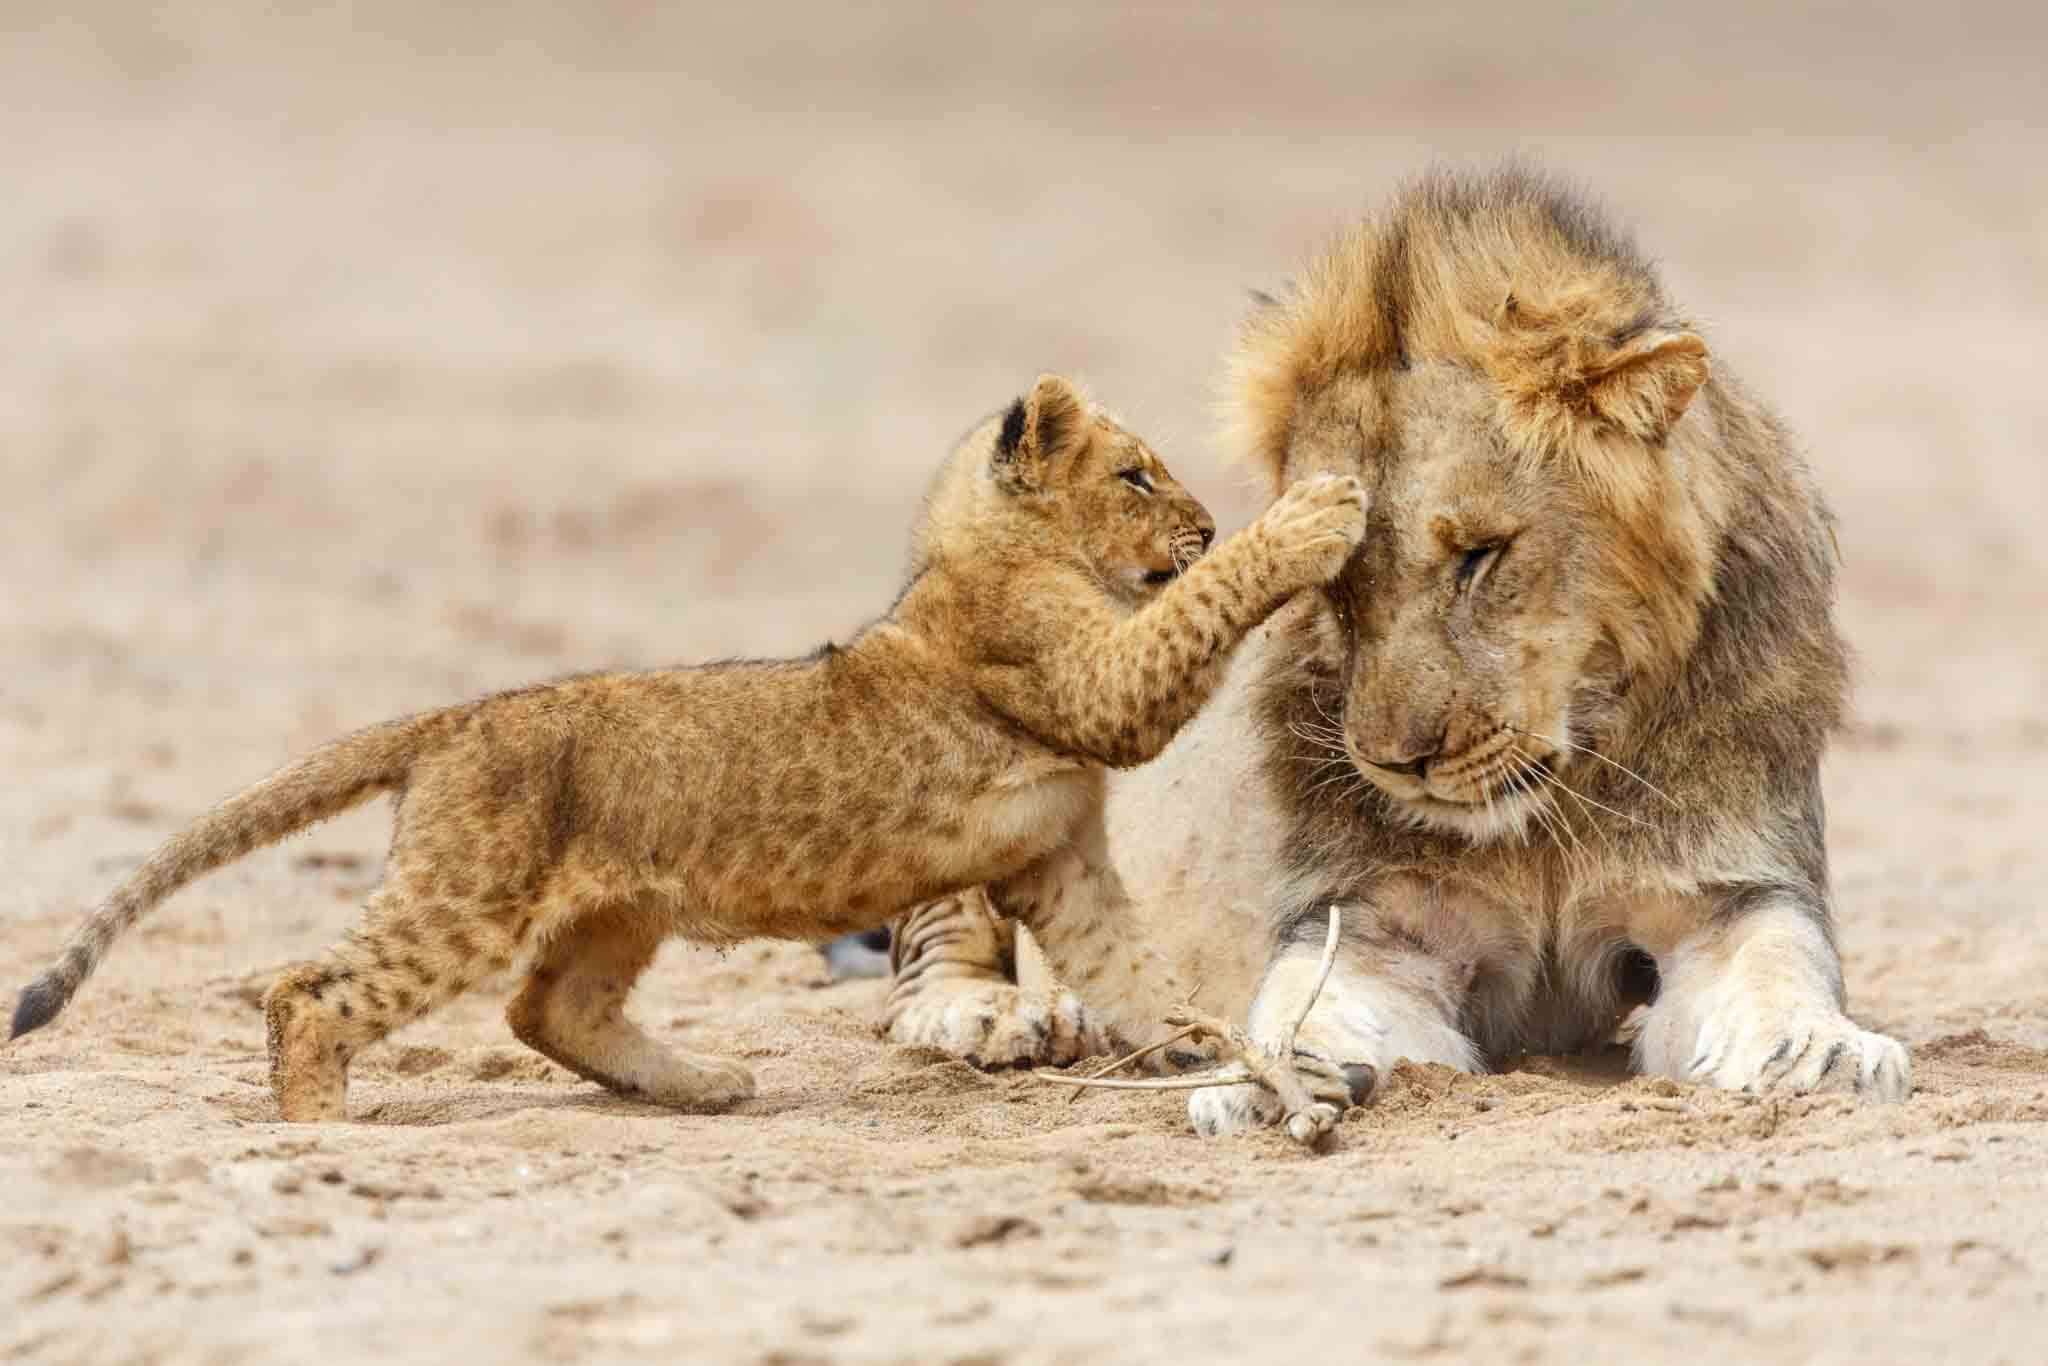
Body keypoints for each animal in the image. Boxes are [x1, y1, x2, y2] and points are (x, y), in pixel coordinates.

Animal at [880, 165, 1900, 1138]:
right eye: (1334, 579)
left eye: (1479, 556)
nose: (1397, 765)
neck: (1549, 813)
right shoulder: (1371, 923)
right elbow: (1307, 1002)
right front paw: (1271, 1076)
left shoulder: (1728, 892)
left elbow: (1778, 967)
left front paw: (1821, 1055)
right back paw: (1000, 1016)